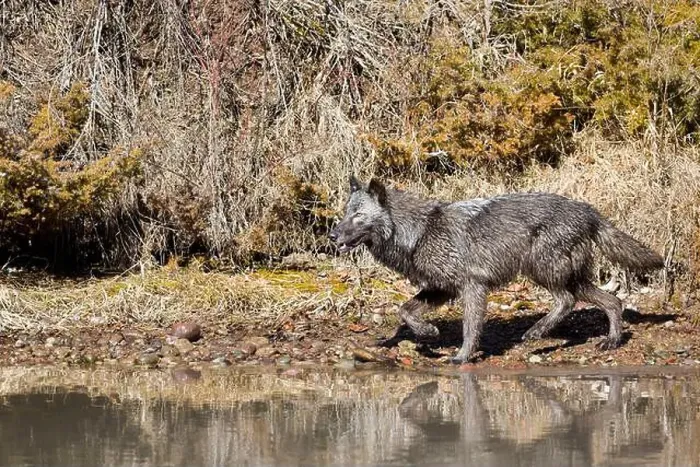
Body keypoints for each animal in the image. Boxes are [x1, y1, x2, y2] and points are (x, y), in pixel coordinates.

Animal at [329, 176, 664, 363]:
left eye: (358, 216)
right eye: (345, 213)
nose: (332, 235)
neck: (420, 231)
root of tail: (588, 210)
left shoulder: (472, 287)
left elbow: (470, 328)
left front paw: (462, 357)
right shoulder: (440, 289)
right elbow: (405, 310)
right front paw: (428, 332)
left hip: (542, 270)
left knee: (567, 301)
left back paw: (536, 332)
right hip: (570, 277)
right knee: (613, 301)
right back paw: (612, 341)